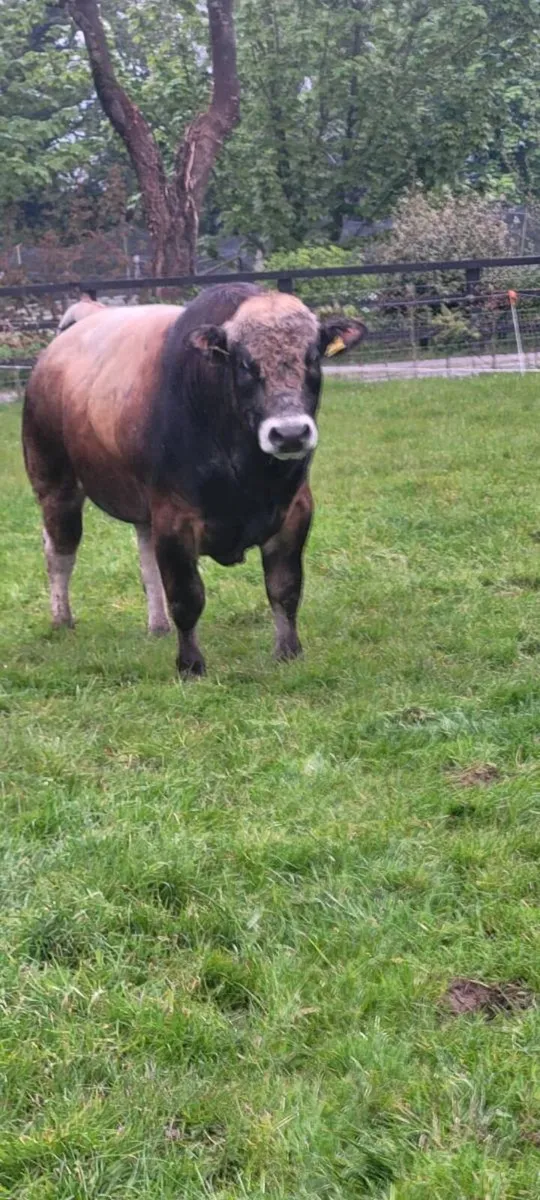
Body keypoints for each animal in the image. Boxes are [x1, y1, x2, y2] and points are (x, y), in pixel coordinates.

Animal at [23, 283, 366, 676]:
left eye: (312, 357)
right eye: (244, 362)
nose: (290, 433)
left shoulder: (295, 511)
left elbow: (284, 587)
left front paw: (288, 652)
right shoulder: (175, 519)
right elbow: (187, 597)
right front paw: (190, 665)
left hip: (142, 508)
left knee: (146, 561)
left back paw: (158, 626)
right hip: (55, 485)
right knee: (60, 552)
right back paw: (62, 620)